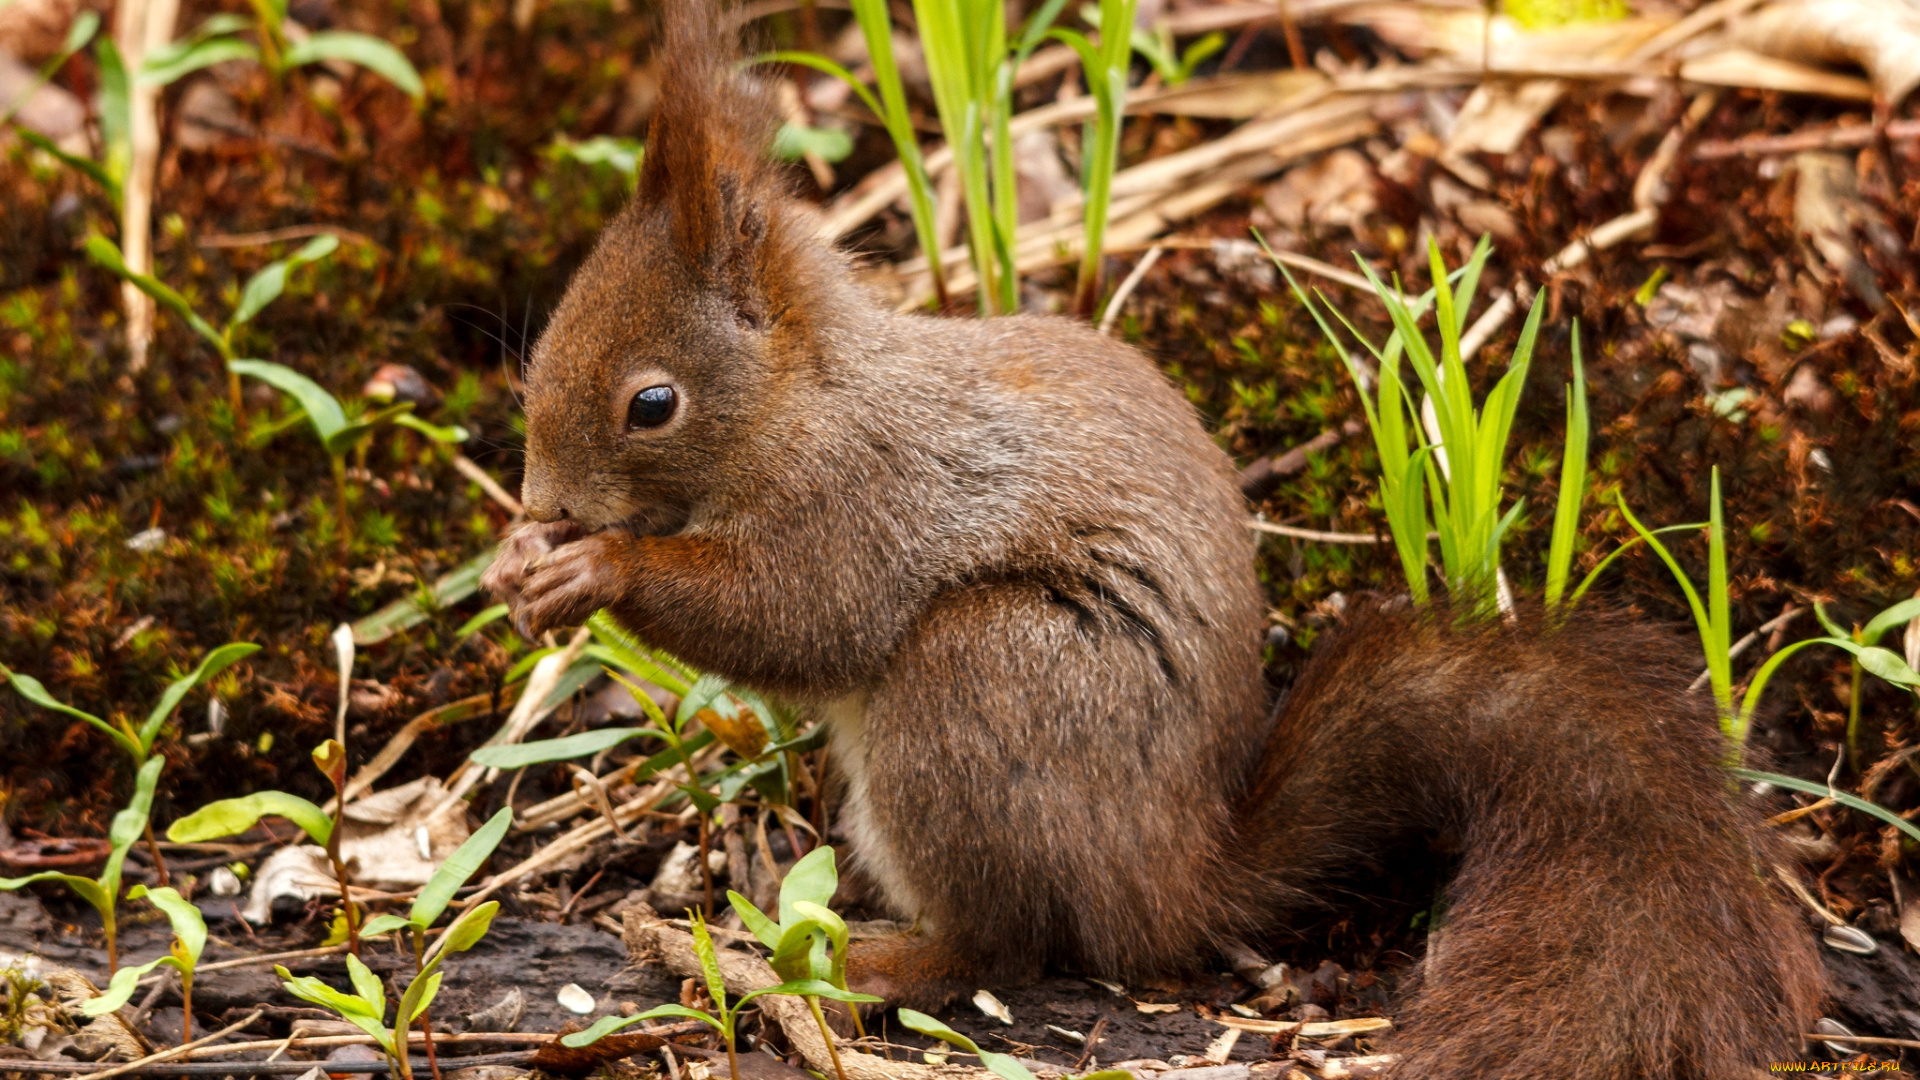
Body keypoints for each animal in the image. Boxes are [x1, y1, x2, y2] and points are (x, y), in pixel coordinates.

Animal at [483, 6, 1827, 1068]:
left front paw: (593, 567)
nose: (542, 499)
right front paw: (514, 563)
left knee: (1010, 944)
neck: (802, 400)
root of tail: (1173, 871)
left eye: (652, 403)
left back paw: (873, 964)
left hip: (984, 678)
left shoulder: (862, 498)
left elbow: (799, 616)